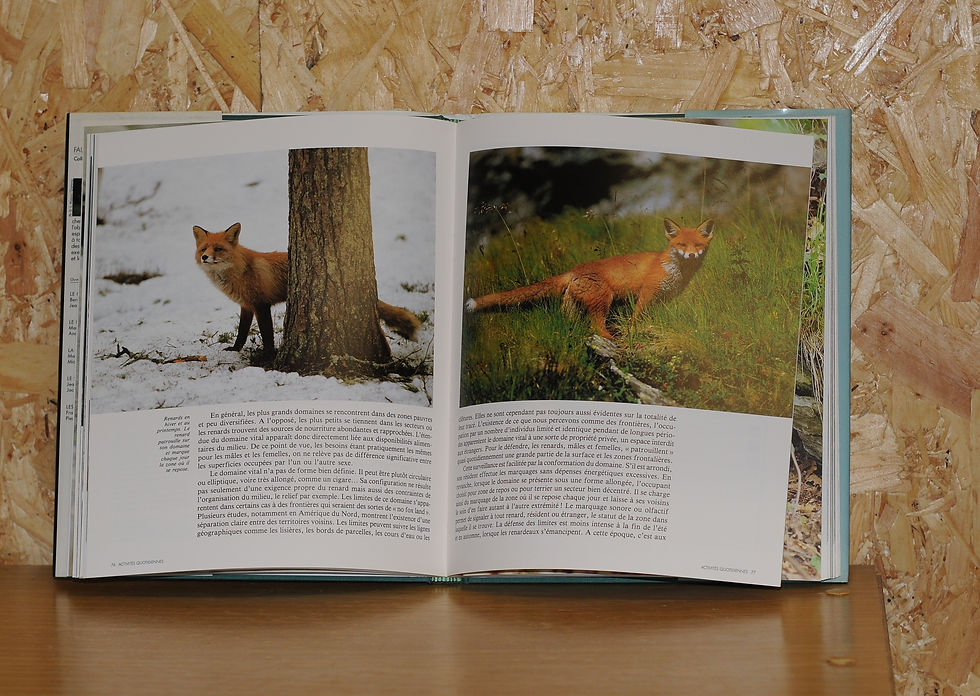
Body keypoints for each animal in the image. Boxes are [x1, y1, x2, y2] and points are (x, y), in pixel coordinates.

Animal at [193, 222, 421, 354]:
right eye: (204, 249)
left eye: (218, 249)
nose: (204, 257)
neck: (239, 270)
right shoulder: (247, 306)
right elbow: (241, 332)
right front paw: (235, 349)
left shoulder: (261, 305)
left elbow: (267, 335)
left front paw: (268, 357)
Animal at [464, 218, 714, 340]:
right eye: (681, 244)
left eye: (697, 245)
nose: (692, 255)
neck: (676, 271)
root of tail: (574, 270)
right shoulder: (647, 293)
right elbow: (636, 317)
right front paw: (634, 331)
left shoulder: (664, 298)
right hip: (603, 301)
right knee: (595, 327)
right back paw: (611, 339)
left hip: (574, 308)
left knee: (574, 324)